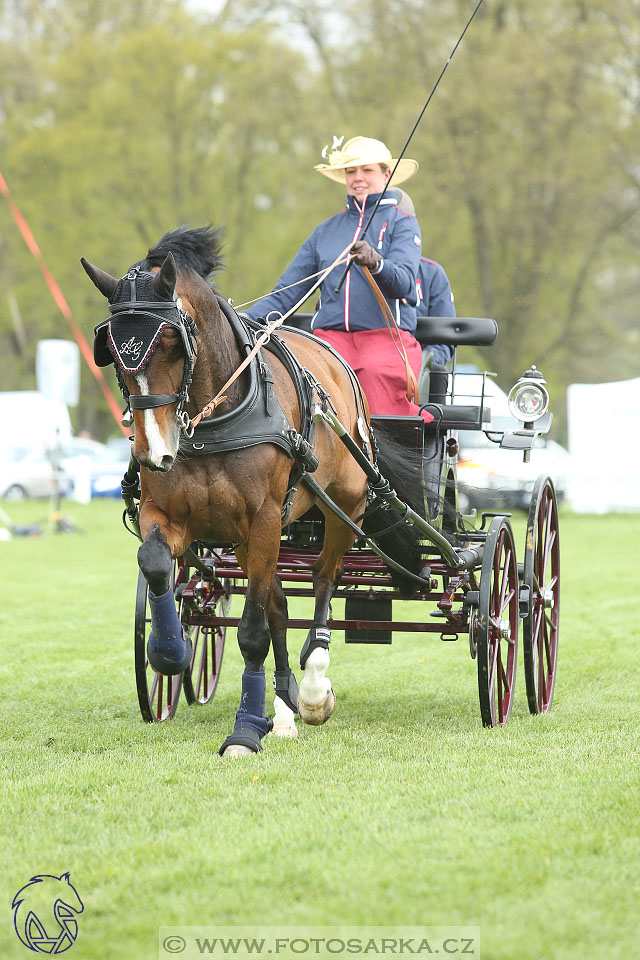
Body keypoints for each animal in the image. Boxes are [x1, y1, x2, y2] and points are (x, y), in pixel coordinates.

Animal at [80, 227, 422, 756]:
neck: (214, 420)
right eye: (112, 353)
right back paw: (281, 708)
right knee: (279, 603)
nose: (154, 450)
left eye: (172, 343)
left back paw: (313, 689)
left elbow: (254, 632)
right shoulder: (168, 514)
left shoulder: (262, 520)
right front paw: (169, 650)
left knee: (323, 581)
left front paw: (244, 731)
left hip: (344, 507)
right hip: (248, 537)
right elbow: (157, 565)